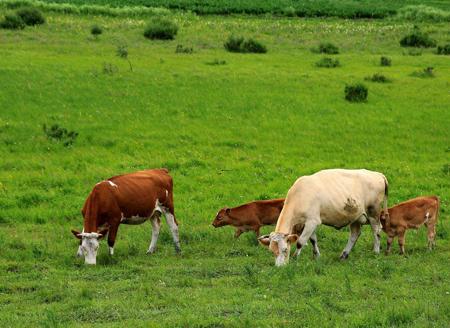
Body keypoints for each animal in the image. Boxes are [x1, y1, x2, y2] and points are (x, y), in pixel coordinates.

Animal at [258, 169, 388, 266]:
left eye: (285, 249)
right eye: (271, 251)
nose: (279, 267)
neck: (300, 196)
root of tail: (377, 174)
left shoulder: (312, 221)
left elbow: (300, 242)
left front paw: (295, 258)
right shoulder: (309, 223)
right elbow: (313, 240)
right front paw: (317, 256)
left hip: (373, 212)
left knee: (376, 230)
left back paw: (376, 251)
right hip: (355, 216)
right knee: (355, 234)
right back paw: (344, 255)